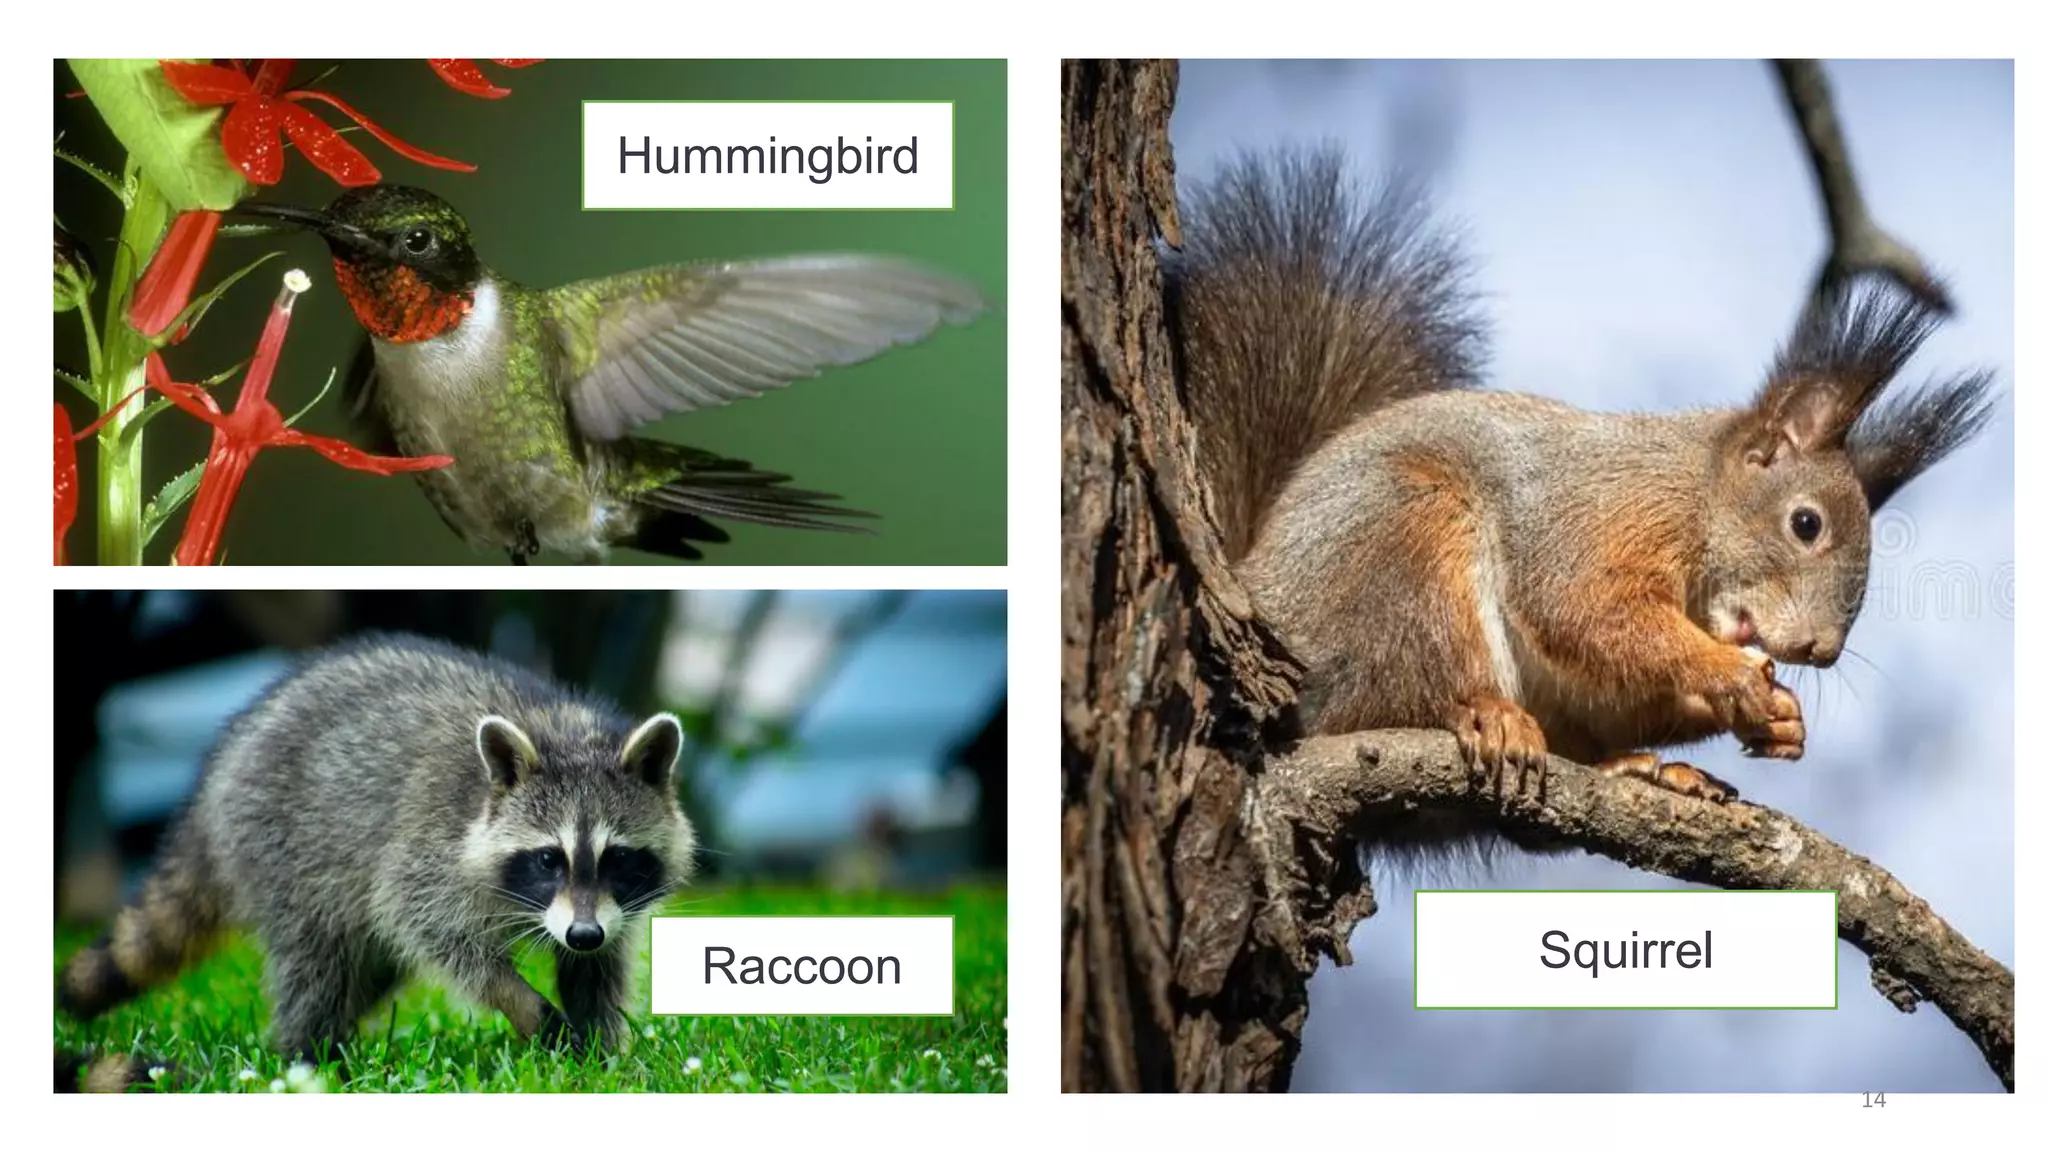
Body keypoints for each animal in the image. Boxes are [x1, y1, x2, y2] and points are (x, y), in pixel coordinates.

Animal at [58, 633, 697, 1059]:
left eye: (618, 858)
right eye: (548, 859)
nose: (582, 933)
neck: (564, 733)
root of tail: (217, 777)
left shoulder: (611, 909)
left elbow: (599, 969)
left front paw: (603, 1051)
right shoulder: (429, 846)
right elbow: (428, 926)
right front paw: (519, 1000)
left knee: (366, 970)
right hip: (285, 845)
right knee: (317, 962)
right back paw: (307, 1053)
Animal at [1169, 148, 1994, 826]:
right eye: (1806, 524)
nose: (1820, 651)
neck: (1693, 495)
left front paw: (1779, 719)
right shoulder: (1606, 514)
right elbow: (1585, 607)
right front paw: (1728, 673)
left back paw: (1644, 769)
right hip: (1404, 537)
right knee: (1389, 689)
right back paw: (1483, 713)